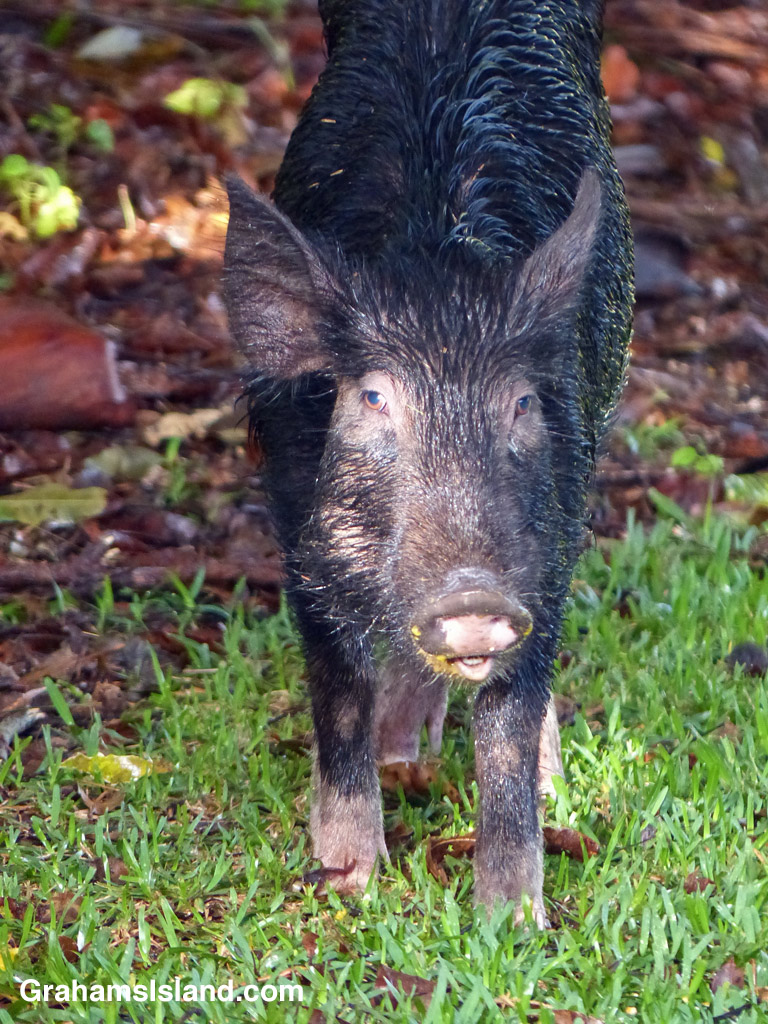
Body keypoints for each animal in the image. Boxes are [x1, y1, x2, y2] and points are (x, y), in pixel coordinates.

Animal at [224, 0, 634, 926]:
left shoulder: (549, 545)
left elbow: (509, 722)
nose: (473, 595)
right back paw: (402, 760)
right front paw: (348, 882)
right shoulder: (300, 533)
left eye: (521, 405)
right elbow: (338, 689)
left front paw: (514, 923)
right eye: (373, 399)